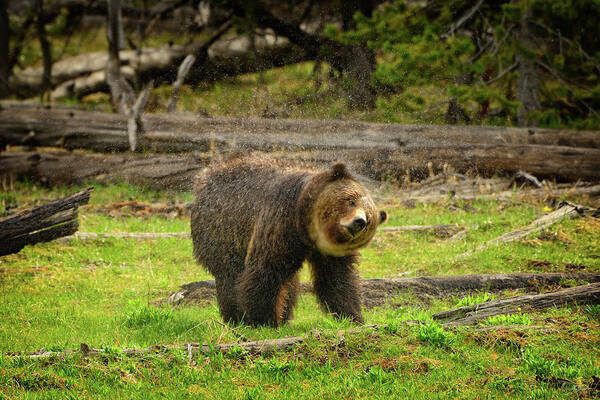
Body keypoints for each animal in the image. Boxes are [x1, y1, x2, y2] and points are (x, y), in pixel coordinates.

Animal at [192, 158, 390, 326]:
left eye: (369, 217)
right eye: (351, 201)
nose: (359, 222)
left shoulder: (331, 252)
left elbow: (337, 278)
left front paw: (352, 316)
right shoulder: (281, 220)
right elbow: (268, 268)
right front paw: (264, 319)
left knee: (290, 284)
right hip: (222, 231)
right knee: (230, 274)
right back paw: (236, 317)